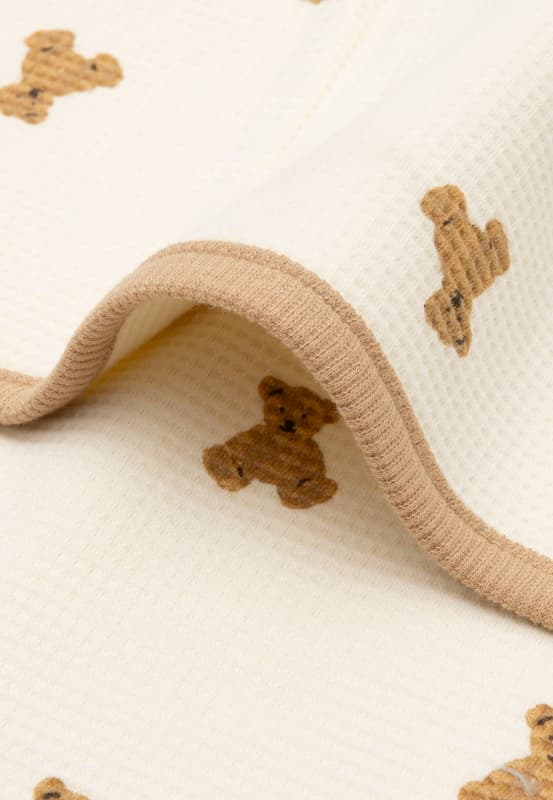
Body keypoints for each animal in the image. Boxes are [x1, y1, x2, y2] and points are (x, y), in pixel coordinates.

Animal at [203, 375, 339, 509]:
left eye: (305, 416)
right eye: (281, 408)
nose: (289, 423)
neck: (284, 437)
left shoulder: (312, 452)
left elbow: (317, 464)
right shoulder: (256, 435)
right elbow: (239, 444)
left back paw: (316, 489)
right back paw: (222, 466)